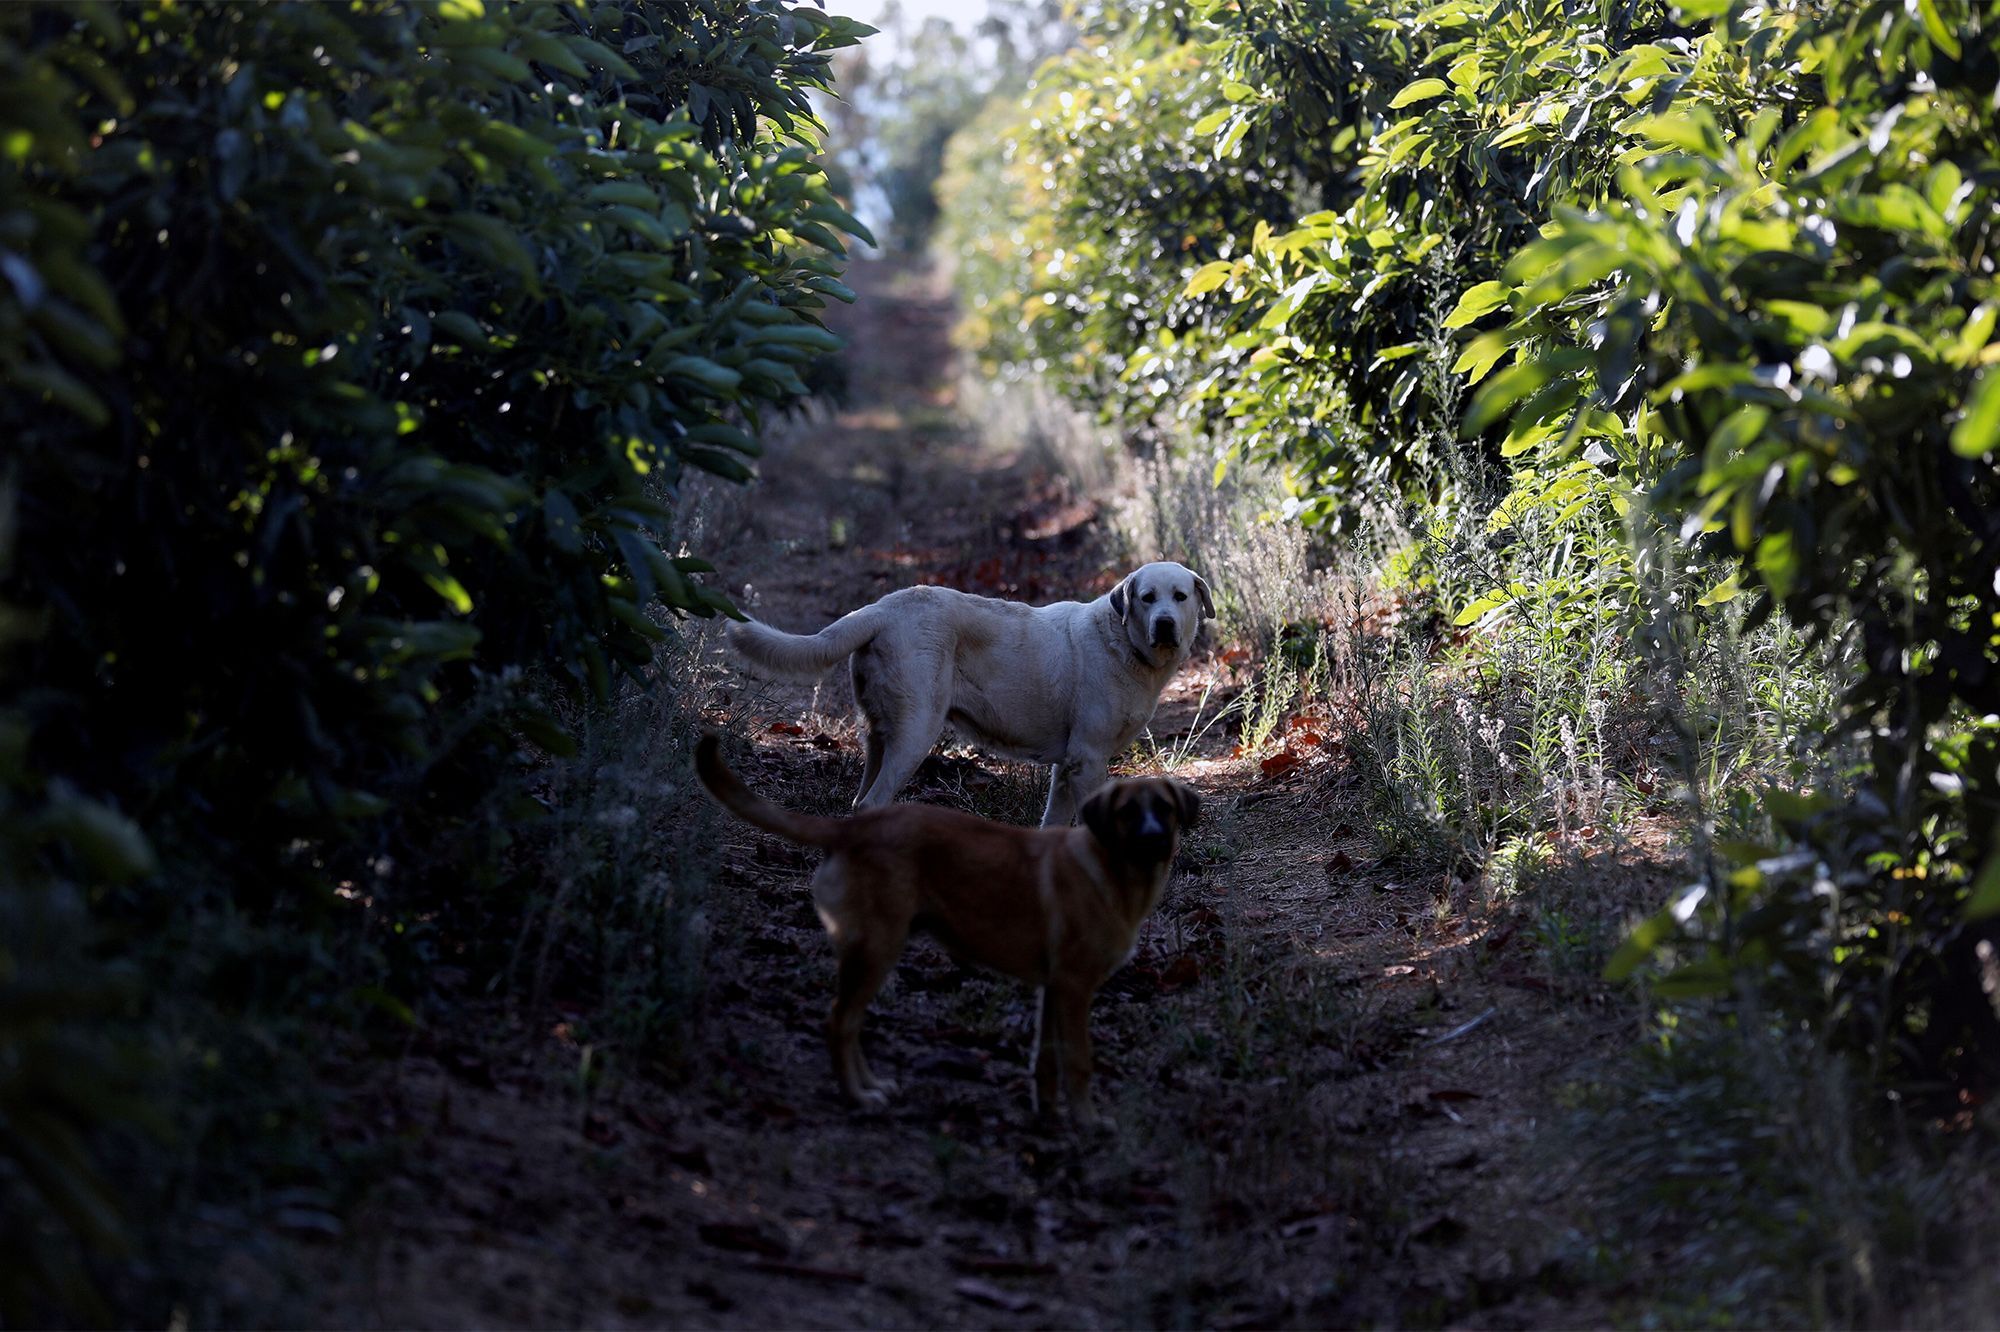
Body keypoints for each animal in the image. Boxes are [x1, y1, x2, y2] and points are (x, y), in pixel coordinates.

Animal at [696, 736, 1192, 1120]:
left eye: (1165, 809)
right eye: (1128, 812)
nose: (1155, 840)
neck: (1111, 871)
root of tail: (847, 832)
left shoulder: (1054, 989)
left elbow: (1046, 1059)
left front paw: (1050, 1114)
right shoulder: (1074, 987)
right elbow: (1079, 1060)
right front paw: (1087, 1122)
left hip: (871, 950)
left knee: (850, 1023)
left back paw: (870, 1087)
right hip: (878, 947)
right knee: (839, 1021)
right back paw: (856, 1097)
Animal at [728, 556, 1208, 820]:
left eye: (1180, 597)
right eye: (1147, 598)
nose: (1165, 624)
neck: (1123, 643)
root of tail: (882, 608)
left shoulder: (1067, 765)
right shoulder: (1088, 760)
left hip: (880, 735)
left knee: (858, 799)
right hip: (916, 732)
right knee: (871, 802)